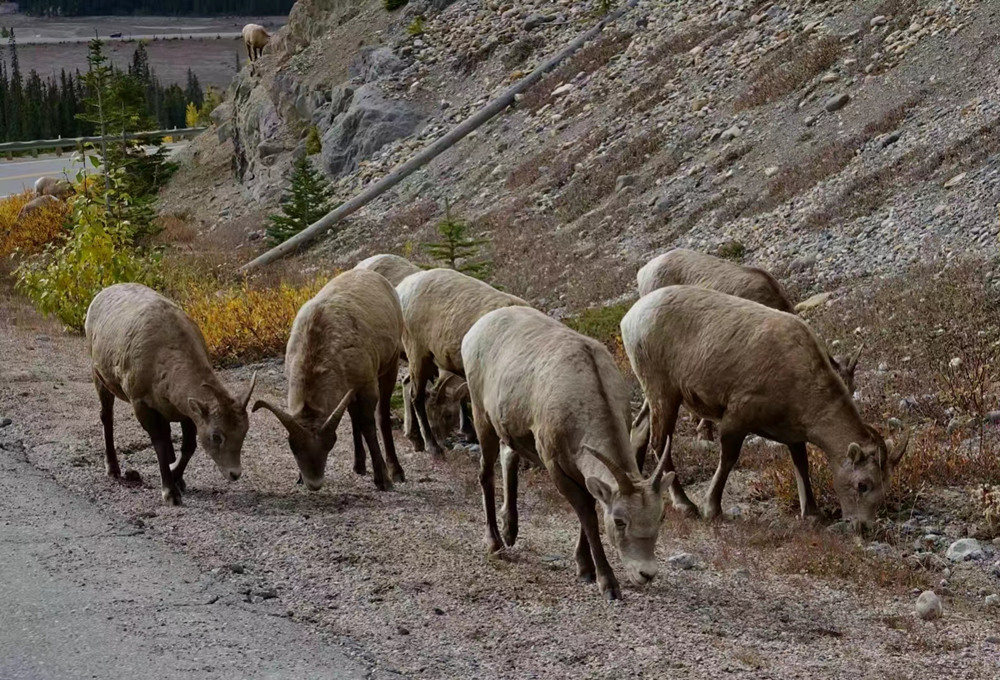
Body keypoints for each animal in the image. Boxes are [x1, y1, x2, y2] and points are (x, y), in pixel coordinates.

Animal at [85, 284, 257, 506]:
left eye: (244, 431)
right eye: (216, 436)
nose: (234, 473)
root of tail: (100, 295)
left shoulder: (186, 413)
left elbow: (188, 446)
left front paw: (176, 477)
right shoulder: (141, 404)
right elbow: (159, 443)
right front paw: (170, 492)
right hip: (99, 378)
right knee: (107, 417)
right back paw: (113, 469)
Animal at [253, 269, 405, 491]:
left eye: (331, 443)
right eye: (293, 447)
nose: (314, 483)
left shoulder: (367, 386)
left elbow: (368, 426)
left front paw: (383, 480)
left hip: (390, 366)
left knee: (382, 416)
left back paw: (397, 472)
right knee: (354, 416)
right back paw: (359, 466)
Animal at [396, 268, 529, 457]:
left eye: (447, 415)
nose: (441, 438)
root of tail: (401, 289)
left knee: (408, 383)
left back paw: (416, 439)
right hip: (417, 351)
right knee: (416, 396)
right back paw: (432, 446)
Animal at [462, 306, 675, 599]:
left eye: (660, 516)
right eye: (619, 521)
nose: (646, 574)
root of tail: (478, 327)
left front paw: (584, 567)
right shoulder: (556, 467)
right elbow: (587, 515)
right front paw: (605, 582)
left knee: (509, 457)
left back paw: (510, 531)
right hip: (482, 417)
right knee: (485, 473)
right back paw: (495, 543)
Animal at [620, 285, 908, 530]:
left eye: (885, 487)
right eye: (863, 485)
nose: (863, 528)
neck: (797, 374)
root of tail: (630, 318)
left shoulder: (793, 433)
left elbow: (801, 463)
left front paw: (812, 513)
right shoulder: (736, 418)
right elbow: (729, 459)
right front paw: (712, 509)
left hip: (657, 394)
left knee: (640, 429)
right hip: (664, 392)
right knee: (660, 442)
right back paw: (685, 505)